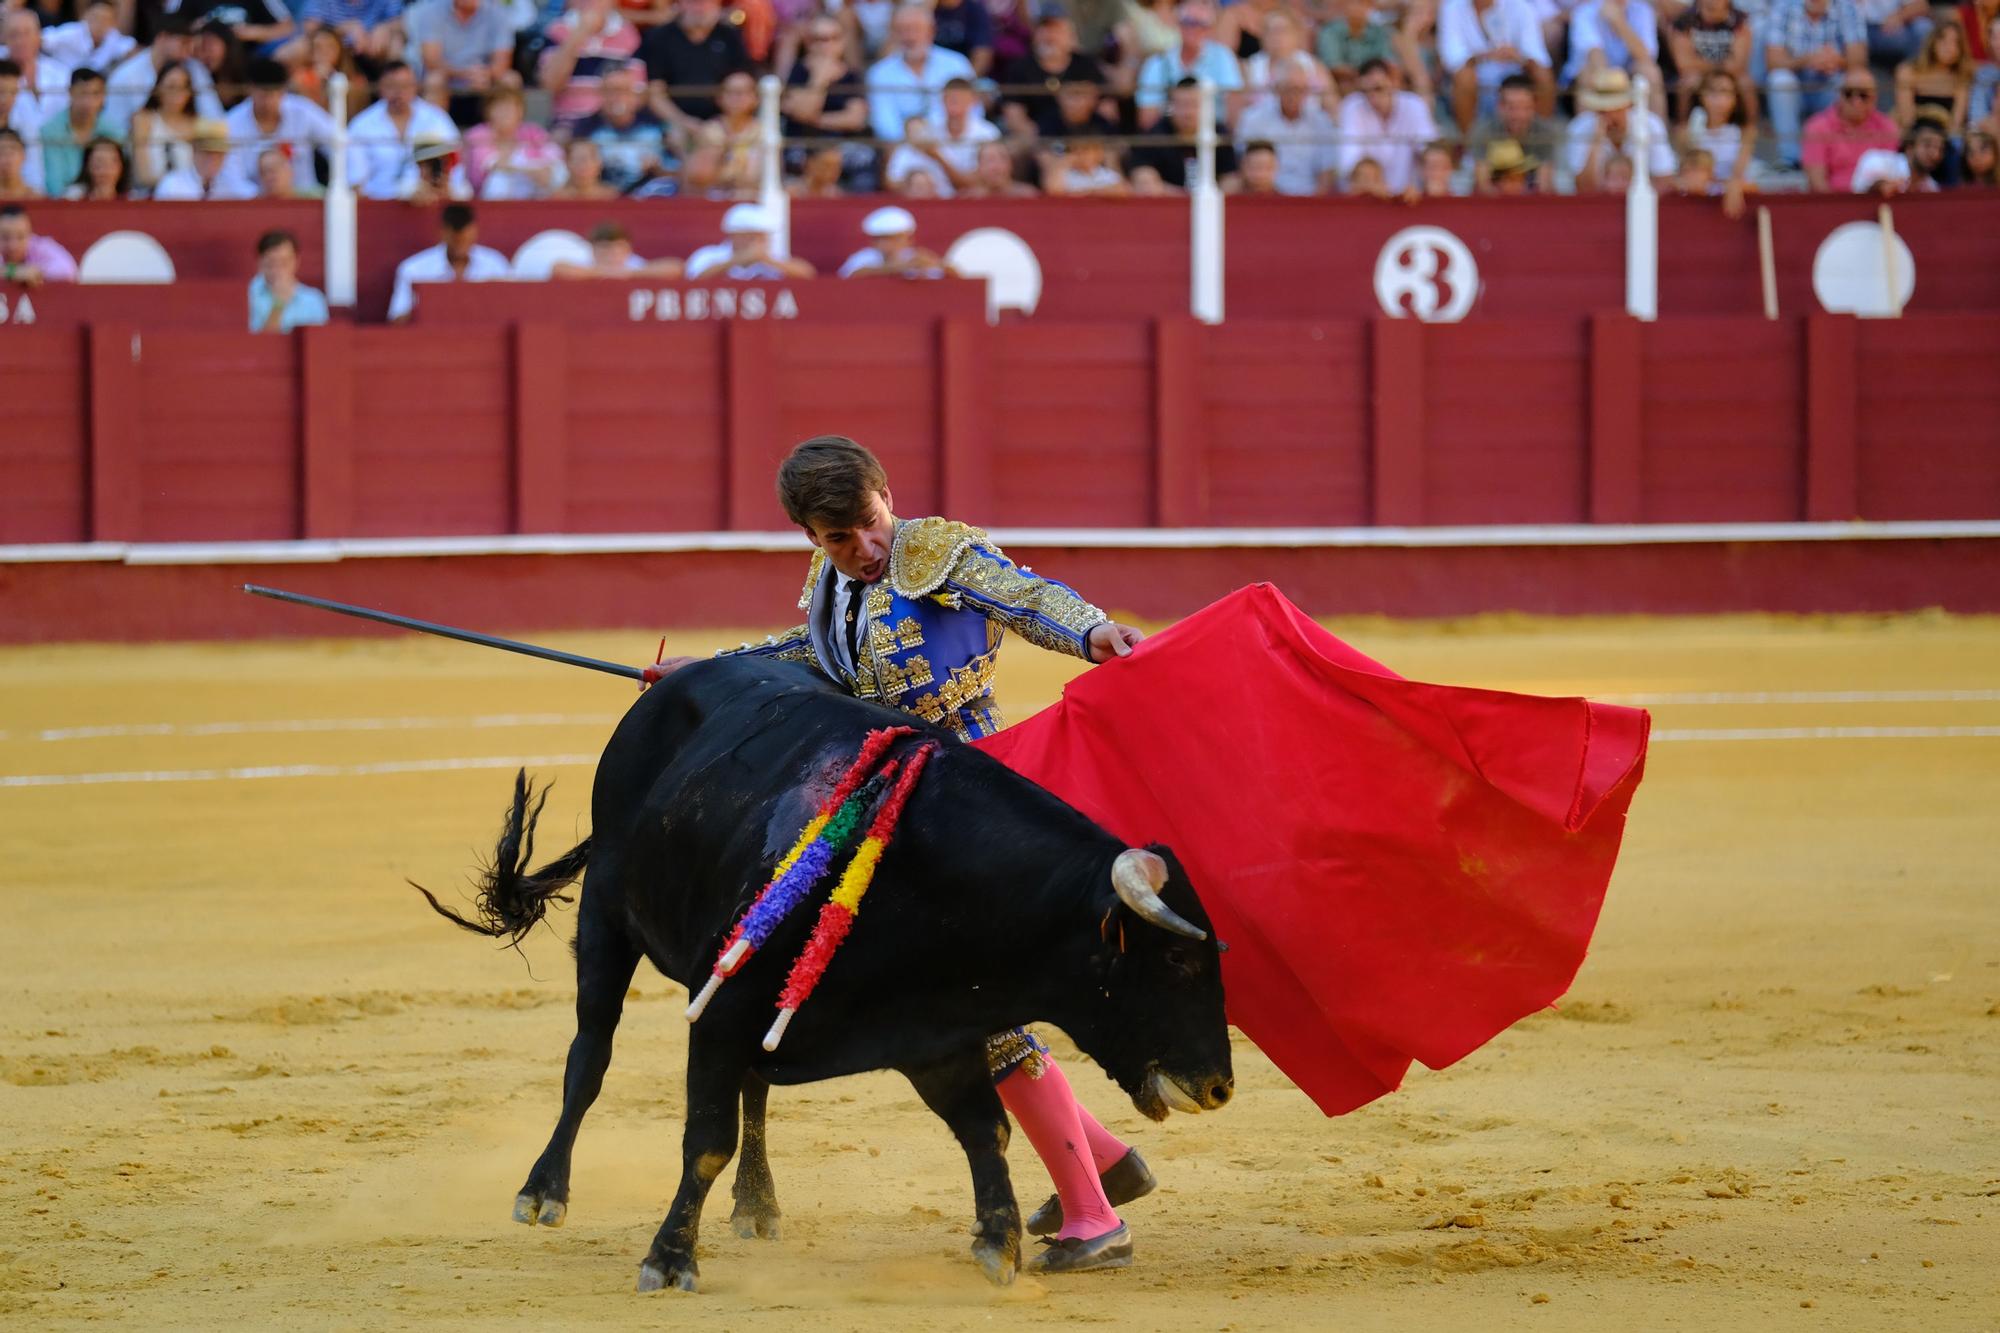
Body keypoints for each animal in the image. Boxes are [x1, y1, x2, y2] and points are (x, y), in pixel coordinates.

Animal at [424, 656, 1232, 1288]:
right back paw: (543, 1191)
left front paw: (997, 1242)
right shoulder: (723, 1006)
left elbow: (988, 1128)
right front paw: (669, 1259)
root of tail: (671, 681)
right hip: (606, 918)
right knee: (590, 1055)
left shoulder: (933, 1030)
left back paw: (757, 1204)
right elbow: (704, 1137)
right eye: (1177, 957)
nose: (1221, 1087)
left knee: (753, 1087)